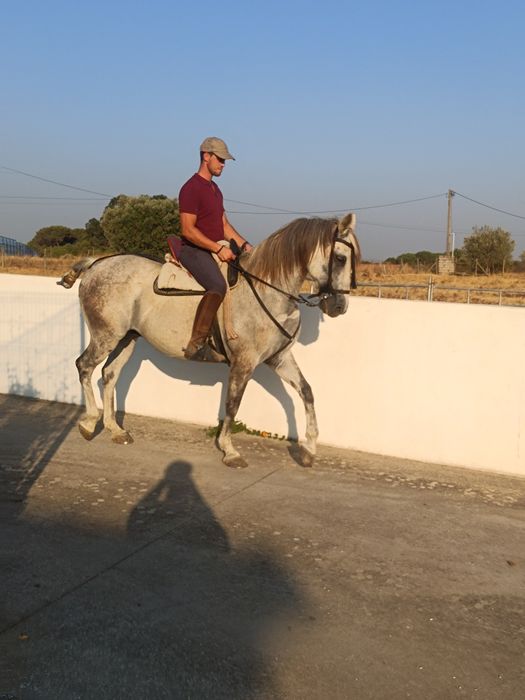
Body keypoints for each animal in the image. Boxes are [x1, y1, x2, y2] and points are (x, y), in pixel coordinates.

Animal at [58, 212, 360, 469]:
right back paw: (89, 422)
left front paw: (309, 450)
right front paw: (230, 450)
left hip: (126, 338)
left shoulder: (279, 358)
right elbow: (233, 404)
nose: (339, 306)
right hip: (105, 336)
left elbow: (306, 391)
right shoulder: (243, 363)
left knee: (109, 374)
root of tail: (96, 263)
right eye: (340, 258)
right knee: (84, 366)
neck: (267, 289)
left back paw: (115, 429)